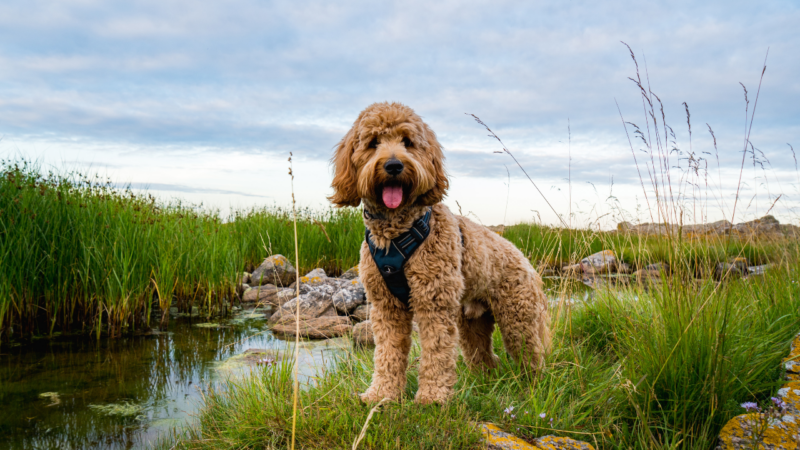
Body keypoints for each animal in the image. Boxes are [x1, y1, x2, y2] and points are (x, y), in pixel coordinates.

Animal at [326, 101, 552, 404]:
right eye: (373, 143)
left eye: (408, 142)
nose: (394, 165)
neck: (396, 234)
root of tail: (524, 258)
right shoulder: (386, 306)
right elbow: (387, 352)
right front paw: (382, 395)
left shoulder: (433, 300)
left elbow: (436, 352)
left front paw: (432, 398)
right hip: (473, 321)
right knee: (483, 356)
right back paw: (484, 381)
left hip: (518, 317)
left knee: (531, 353)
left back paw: (534, 386)